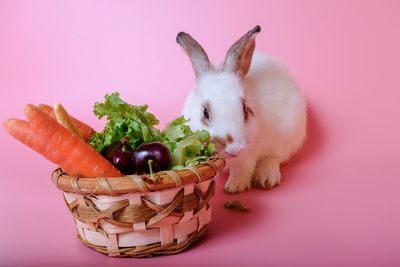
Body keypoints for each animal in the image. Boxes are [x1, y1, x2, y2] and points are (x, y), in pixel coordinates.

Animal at [177, 25, 306, 195]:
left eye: (245, 108)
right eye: (205, 112)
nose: (234, 149)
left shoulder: (247, 156)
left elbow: (242, 170)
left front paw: (233, 188)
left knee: (273, 158)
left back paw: (266, 179)